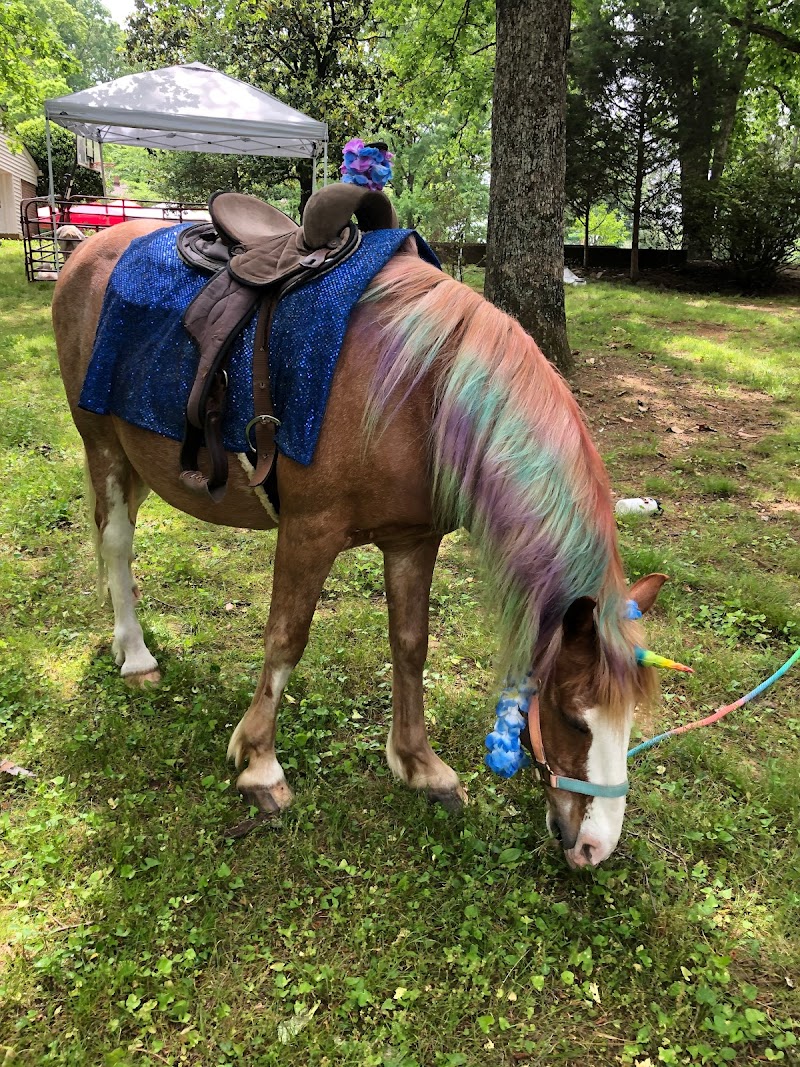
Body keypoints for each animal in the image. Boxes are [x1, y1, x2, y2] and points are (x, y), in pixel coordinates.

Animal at [52, 219, 664, 869]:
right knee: (116, 544)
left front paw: (420, 766)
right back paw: (136, 655)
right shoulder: (309, 532)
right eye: (574, 719)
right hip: (103, 446)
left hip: (141, 462)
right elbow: (286, 641)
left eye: (631, 718)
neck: (421, 394)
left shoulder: (412, 542)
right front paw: (261, 765)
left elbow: (411, 646)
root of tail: (88, 247)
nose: (596, 847)